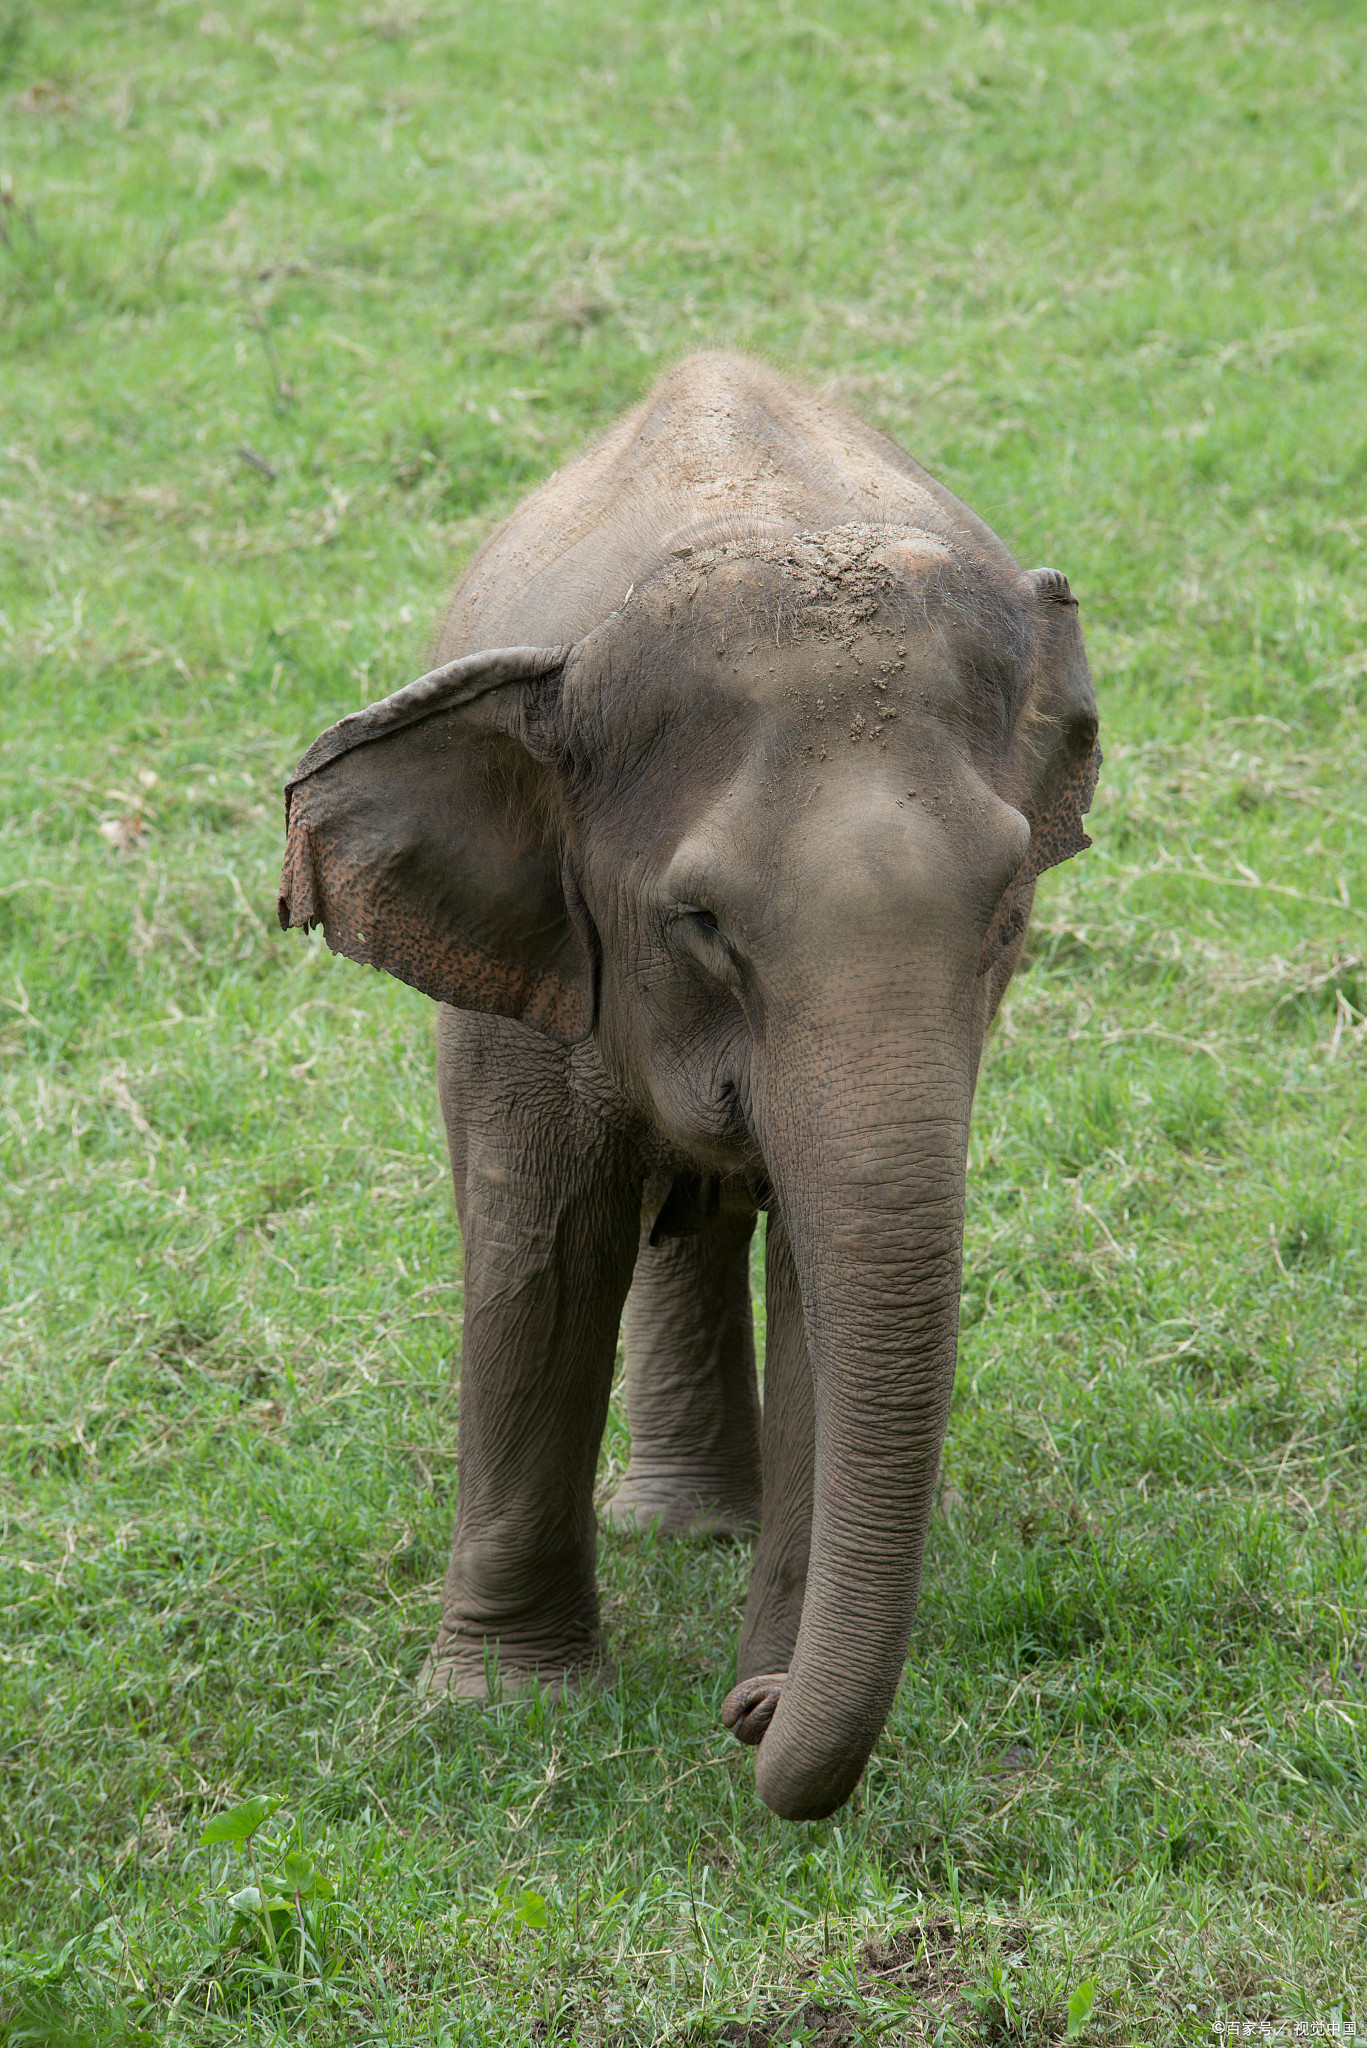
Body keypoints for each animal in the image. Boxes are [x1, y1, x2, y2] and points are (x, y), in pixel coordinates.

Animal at [278, 356, 1098, 1826]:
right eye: (701, 920)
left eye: (1007, 904)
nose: (747, 1710)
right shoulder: (532, 972)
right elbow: (540, 1248)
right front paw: (504, 1706)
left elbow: (821, 1269)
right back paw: (681, 1528)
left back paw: (701, 1526)